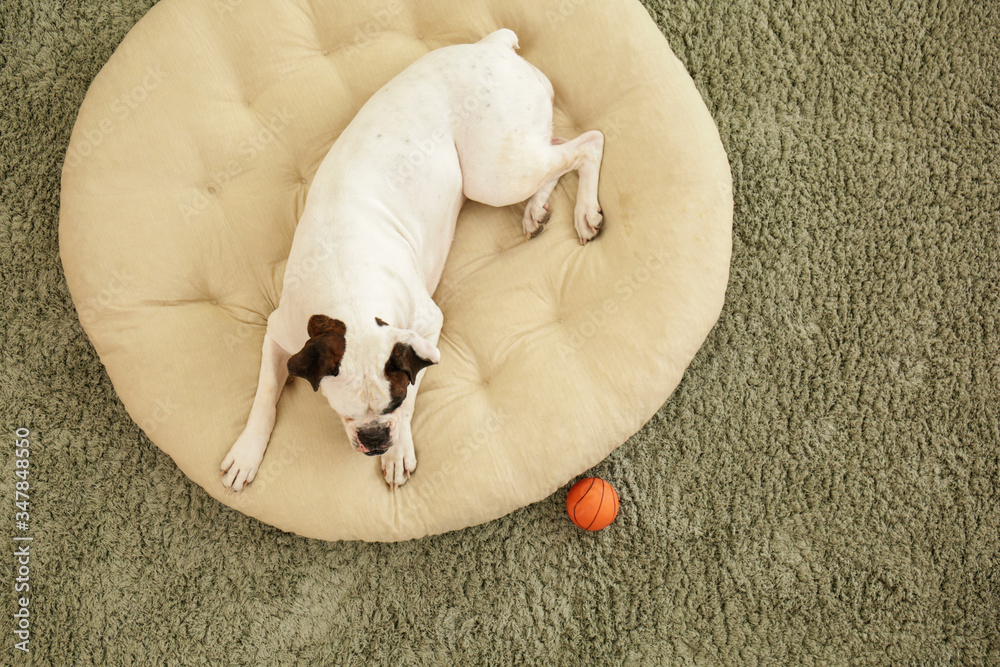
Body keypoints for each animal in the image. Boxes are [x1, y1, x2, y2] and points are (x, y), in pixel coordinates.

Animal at [223, 28, 604, 490]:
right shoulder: (281, 333)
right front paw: (247, 451)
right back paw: (537, 210)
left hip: (493, 175)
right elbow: (263, 394)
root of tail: (493, 45)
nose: (374, 439)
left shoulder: (425, 327)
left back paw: (584, 211)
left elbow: (415, 385)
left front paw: (399, 448)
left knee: (588, 144)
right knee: (559, 149)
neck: (347, 291)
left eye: (393, 402)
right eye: (345, 414)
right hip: (513, 162)